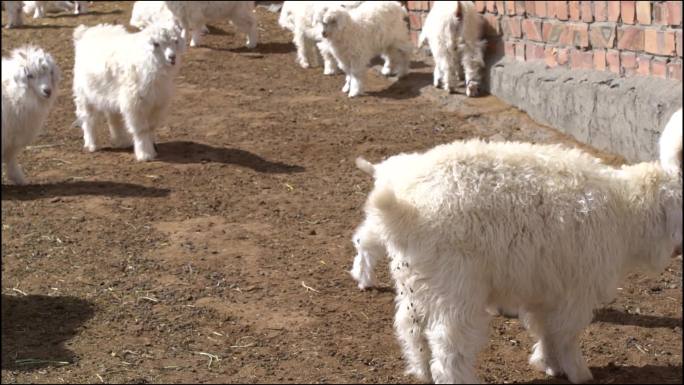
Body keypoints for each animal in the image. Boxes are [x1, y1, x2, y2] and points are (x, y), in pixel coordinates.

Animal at [2, 45, 60, 184]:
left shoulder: (12, 140)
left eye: (50, 72)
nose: (47, 91)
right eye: (30, 75)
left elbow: (11, 163)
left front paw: (21, 180)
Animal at [73, 22, 184, 160]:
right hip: (84, 94)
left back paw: (121, 141)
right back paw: (92, 145)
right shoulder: (135, 104)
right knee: (89, 118)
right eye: (156, 44)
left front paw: (153, 148)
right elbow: (141, 129)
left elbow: (151, 127)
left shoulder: (156, 103)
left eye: (176, 41)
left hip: (111, 94)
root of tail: (85, 32)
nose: (172, 57)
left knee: (114, 117)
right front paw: (145, 154)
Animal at [350, 116, 680, 380]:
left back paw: (422, 372)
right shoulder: (576, 292)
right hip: (455, 288)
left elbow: (546, 330)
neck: (625, 210)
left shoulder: (547, 289)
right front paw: (579, 373)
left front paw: (549, 365)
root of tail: (405, 208)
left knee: (412, 331)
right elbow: (566, 335)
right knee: (449, 348)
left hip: (415, 284)